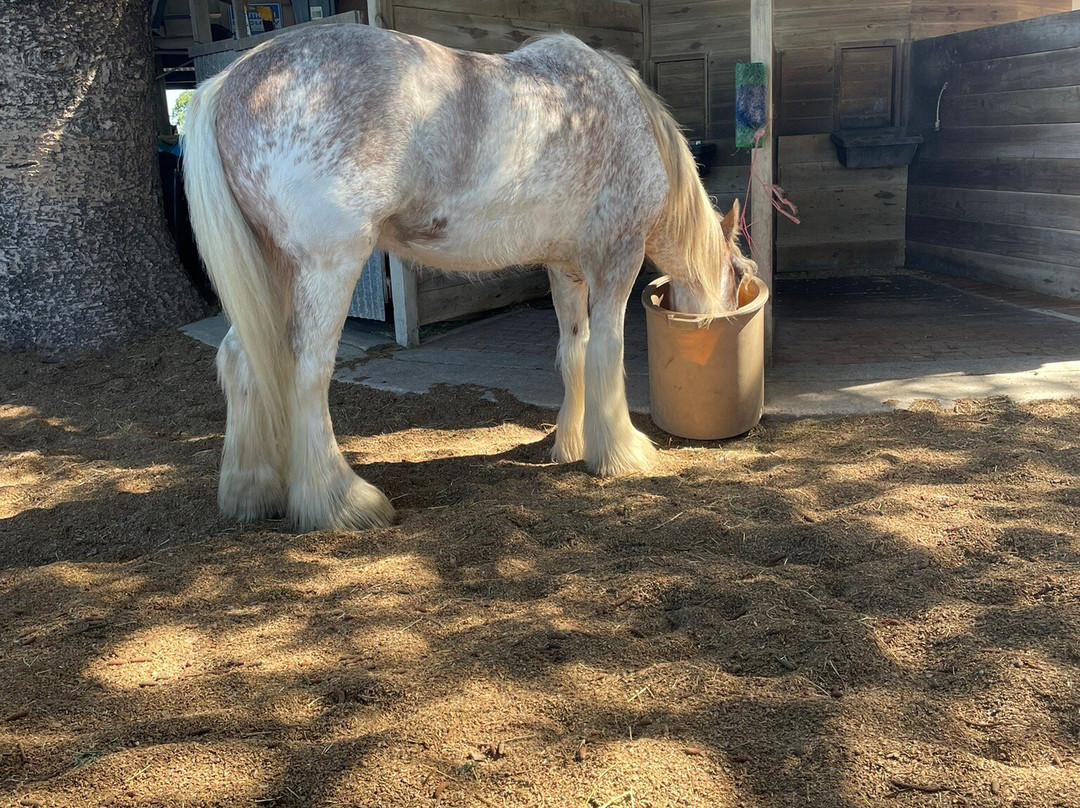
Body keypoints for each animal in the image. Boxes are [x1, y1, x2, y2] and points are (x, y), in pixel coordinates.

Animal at [183, 23, 756, 532]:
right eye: (737, 284)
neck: (621, 115)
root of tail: (229, 82)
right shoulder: (616, 257)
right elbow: (606, 353)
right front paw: (622, 453)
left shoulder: (565, 270)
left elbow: (573, 352)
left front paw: (570, 445)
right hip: (328, 268)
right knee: (307, 371)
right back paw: (342, 504)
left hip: (276, 270)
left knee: (240, 360)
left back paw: (251, 493)